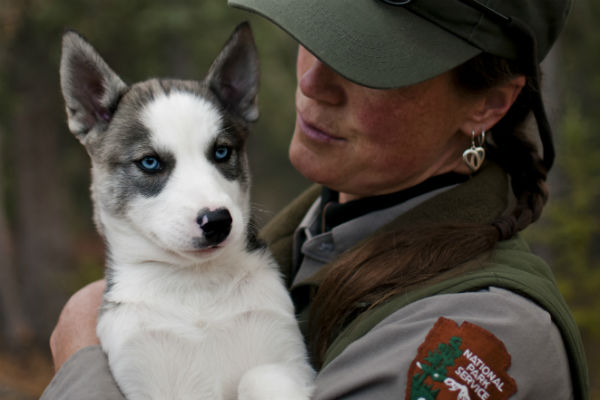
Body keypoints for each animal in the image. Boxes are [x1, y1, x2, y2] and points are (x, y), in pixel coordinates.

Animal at [57, 23, 314, 398]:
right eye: (150, 162)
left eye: (221, 152)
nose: (217, 221)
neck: (194, 286)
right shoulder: (138, 376)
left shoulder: (287, 355)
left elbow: (261, 375)